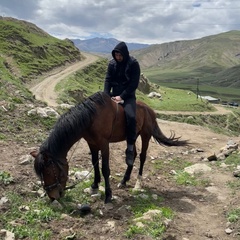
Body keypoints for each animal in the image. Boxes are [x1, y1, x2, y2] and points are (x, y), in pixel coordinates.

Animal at [30, 91, 188, 203]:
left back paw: (138, 182)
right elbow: (94, 164)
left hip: (145, 135)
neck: (91, 118)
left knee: (143, 156)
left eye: (49, 171)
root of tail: (150, 110)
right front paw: (94, 186)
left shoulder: (104, 144)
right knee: (133, 155)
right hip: (132, 137)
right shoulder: (92, 144)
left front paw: (108, 195)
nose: (52, 196)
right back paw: (124, 181)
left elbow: (105, 168)